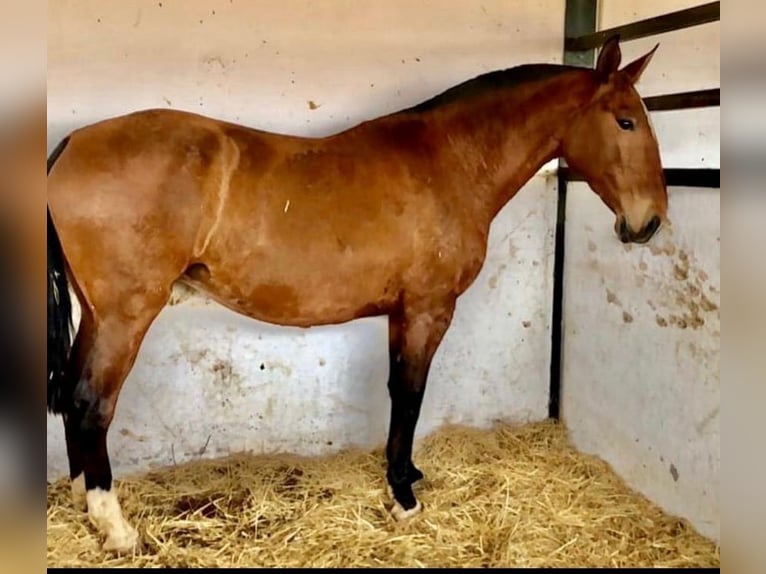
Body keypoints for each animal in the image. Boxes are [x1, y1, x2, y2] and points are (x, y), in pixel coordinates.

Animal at [48, 35, 668, 552]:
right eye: (626, 121)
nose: (650, 222)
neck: (450, 161)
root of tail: (73, 143)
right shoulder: (427, 309)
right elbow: (411, 394)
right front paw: (403, 498)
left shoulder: (401, 313)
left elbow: (399, 391)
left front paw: (406, 476)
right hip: (126, 315)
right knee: (91, 404)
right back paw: (116, 527)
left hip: (98, 315)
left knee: (75, 397)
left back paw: (84, 501)